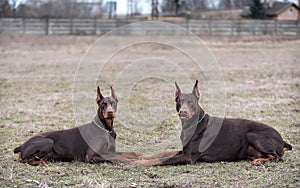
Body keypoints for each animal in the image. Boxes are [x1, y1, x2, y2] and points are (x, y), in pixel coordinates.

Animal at [15, 86, 143, 165]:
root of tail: (21, 146)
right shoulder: (91, 156)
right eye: (103, 104)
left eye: (113, 103)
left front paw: (141, 156)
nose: (110, 112)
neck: (106, 129)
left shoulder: (109, 151)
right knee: (25, 160)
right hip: (48, 142)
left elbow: (132, 153)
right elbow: (120, 157)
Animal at [133, 80, 290, 165]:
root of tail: (282, 139)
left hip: (252, 134)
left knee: (277, 157)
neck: (193, 125)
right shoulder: (183, 150)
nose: (182, 112)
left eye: (191, 102)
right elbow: (163, 152)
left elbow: (162, 159)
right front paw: (142, 156)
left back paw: (260, 161)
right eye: (179, 101)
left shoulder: (188, 157)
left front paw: (139, 162)